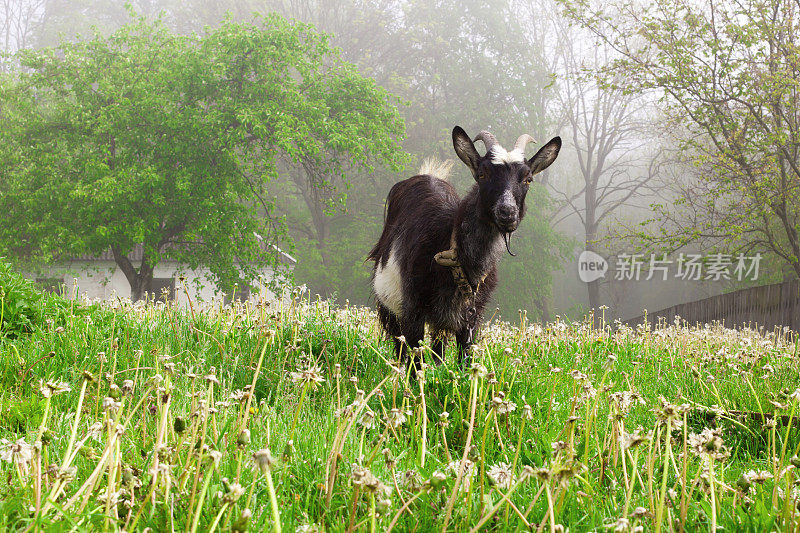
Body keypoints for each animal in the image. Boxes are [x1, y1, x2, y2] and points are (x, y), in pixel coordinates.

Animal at [368, 125, 564, 368]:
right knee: (400, 346)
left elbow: (465, 361)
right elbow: (415, 363)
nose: (507, 212)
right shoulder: (412, 310)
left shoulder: (471, 316)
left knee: (439, 350)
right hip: (390, 304)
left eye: (528, 179)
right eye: (482, 174)